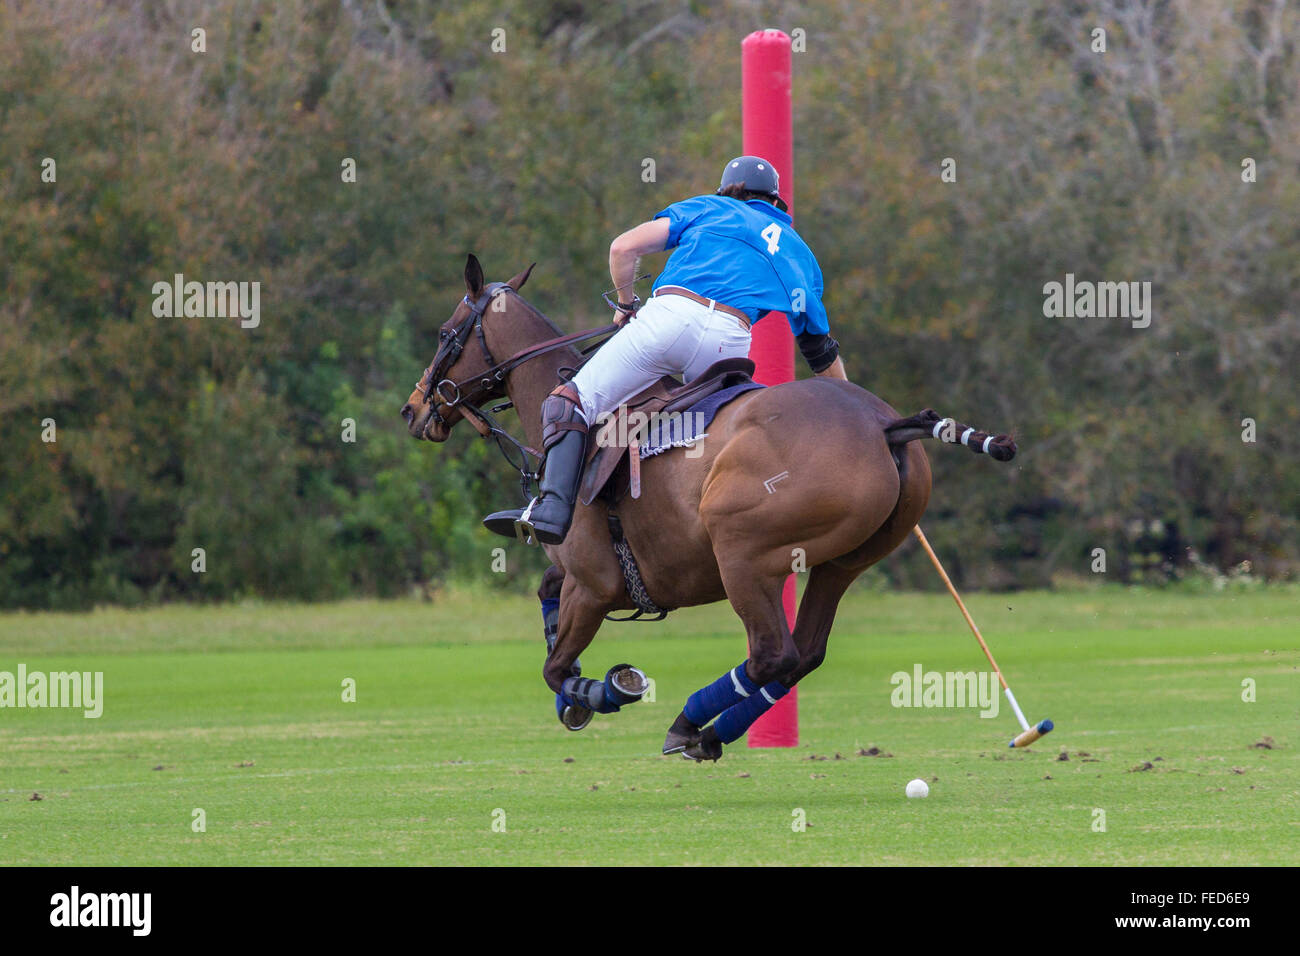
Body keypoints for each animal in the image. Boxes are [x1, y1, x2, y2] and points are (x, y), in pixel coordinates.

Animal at [397, 256, 1013, 764]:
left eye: (446, 333)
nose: (414, 409)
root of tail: (883, 426)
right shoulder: (591, 576)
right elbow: (547, 601)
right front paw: (578, 693)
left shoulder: (593, 583)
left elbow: (552, 667)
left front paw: (604, 688)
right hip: (844, 561)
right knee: (804, 653)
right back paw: (710, 732)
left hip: (742, 550)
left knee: (773, 655)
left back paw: (688, 723)